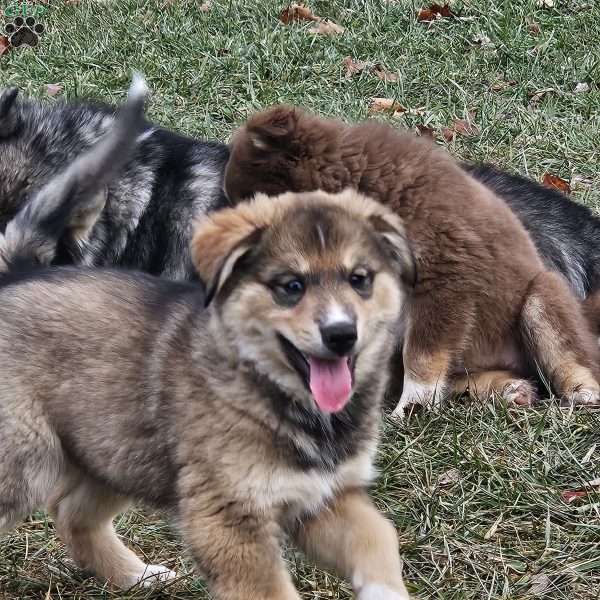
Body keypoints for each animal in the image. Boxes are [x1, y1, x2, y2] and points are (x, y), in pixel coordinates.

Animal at [0, 189, 412, 600]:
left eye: (359, 280)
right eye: (291, 286)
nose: (342, 335)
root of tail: (14, 276)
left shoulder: (324, 497)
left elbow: (378, 537)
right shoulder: (228, 522)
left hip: (115, 452)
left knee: (72, 515)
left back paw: (138, 575)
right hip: (28, 463)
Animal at [224, 105, 600, 414]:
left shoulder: (446, 276)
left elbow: (421, 355)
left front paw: (412, 406)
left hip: (540, 297)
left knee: (571, 358)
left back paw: (582, 392)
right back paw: (509, 389)